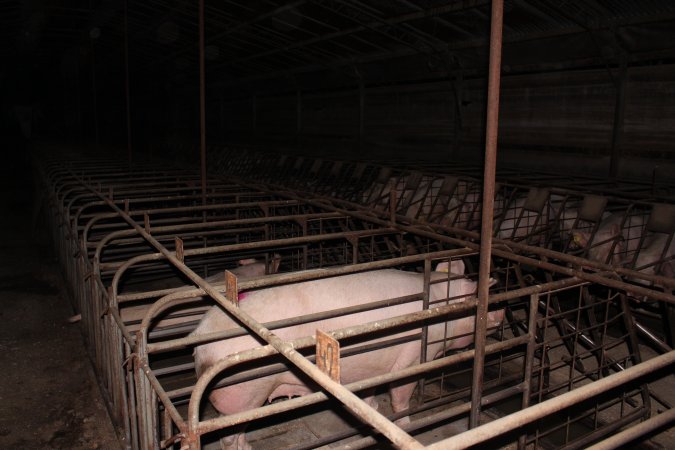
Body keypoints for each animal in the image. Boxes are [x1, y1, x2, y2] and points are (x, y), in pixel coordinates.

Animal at [190, 260, 502, 450]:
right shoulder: (413, 357)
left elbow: (371, 392)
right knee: (229, 434)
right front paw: (407, 425)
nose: (500, 314)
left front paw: (373, 409)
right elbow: (400, 396)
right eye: (481, 302)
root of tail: (201, 346)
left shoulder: (373, 364)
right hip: (246, 391)